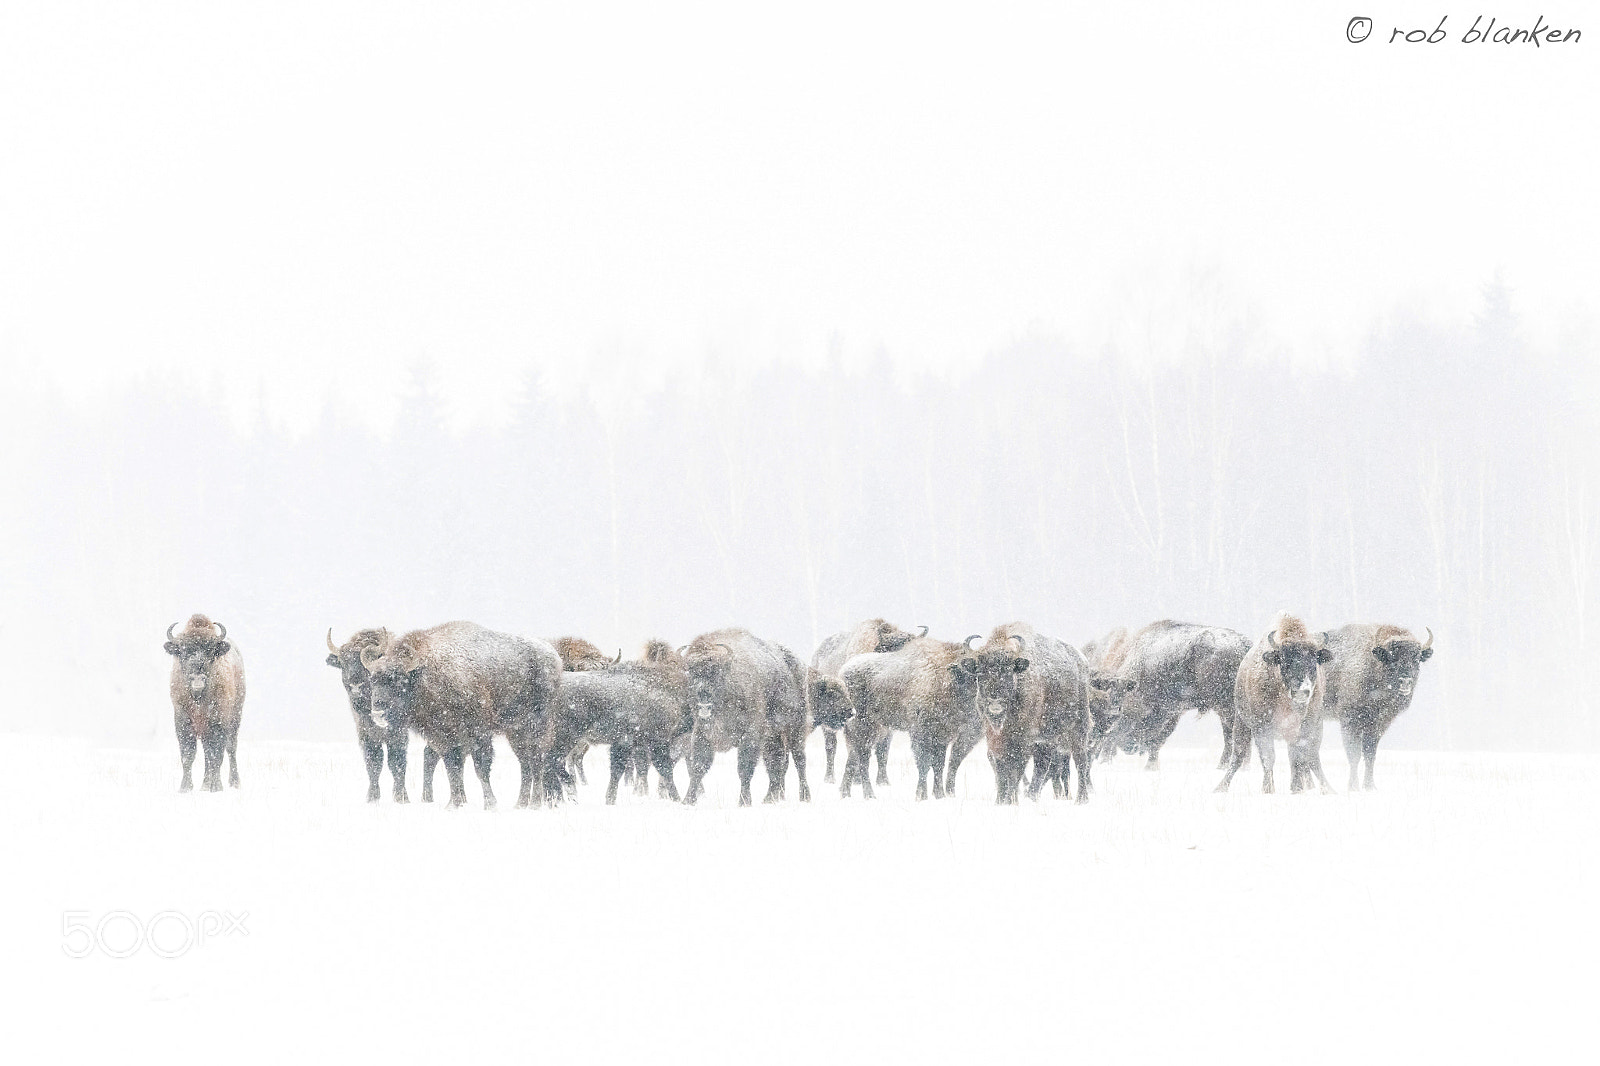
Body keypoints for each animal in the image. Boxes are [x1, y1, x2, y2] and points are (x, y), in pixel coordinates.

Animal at [163, 614, 245, 792]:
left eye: (211, 650)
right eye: (183, 651)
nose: (197, 679)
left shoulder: (218, 723)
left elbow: (216, 755)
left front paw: (216, 787)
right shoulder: (183, 721)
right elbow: (188, 754)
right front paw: (185, 788)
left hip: (235, 718)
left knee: (230, 748)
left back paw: (234, 783)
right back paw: (205, 785)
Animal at [1216, 614, 1334, 794]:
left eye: (1314, 662)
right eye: (1285, 661)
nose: (1302, 691)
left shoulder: (1304, 727)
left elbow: (1298, 758)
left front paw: (1297, 788)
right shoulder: (1261, 727)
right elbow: (1268, 757)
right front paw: (1268, 789)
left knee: (1312, 758)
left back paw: (1326, 788)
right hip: (1241, 722)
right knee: (1238, 755)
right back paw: (1220, 787)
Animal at [1318, 624, 1434, 790]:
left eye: (1417, 658)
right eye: (1392, 658)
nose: (1405, 681)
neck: (1373, 663)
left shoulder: (1378, 724)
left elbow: (1370, 753)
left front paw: (1370, 786)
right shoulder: (1349, 720)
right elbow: (1354, 753)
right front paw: (1353, 787)